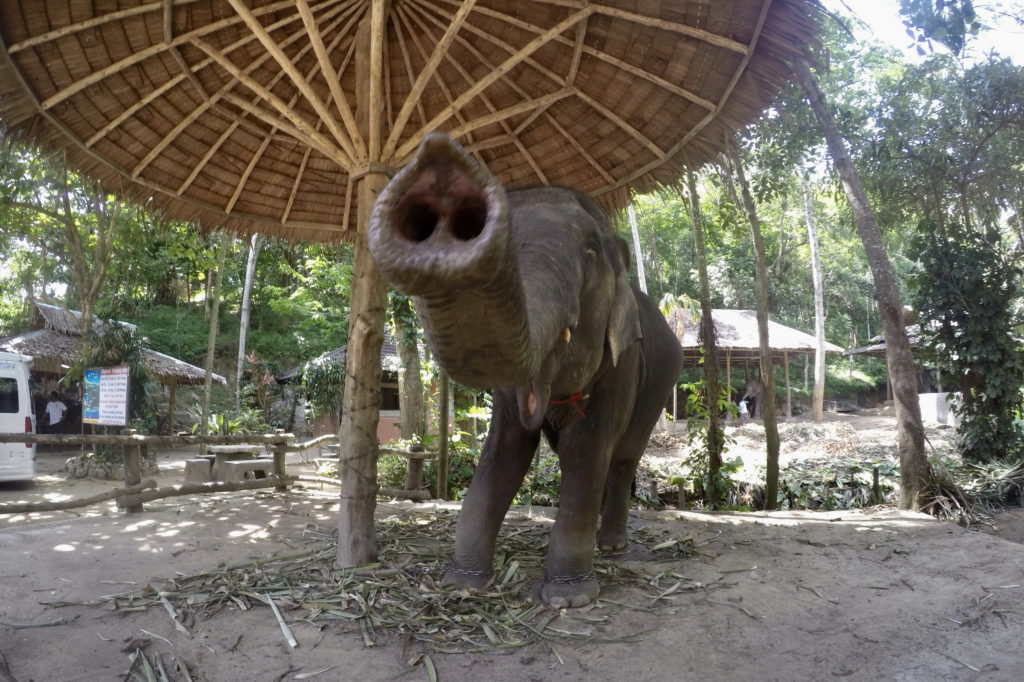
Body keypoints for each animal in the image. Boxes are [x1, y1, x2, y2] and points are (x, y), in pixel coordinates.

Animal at [372, 133, 684, 606]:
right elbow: (505, 450)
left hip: (661, 381)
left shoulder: (621, 365)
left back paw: (612, 547)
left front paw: (569, 599)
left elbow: (585, 451)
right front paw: (463, 585)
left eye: (591, 250)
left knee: (623, 458)